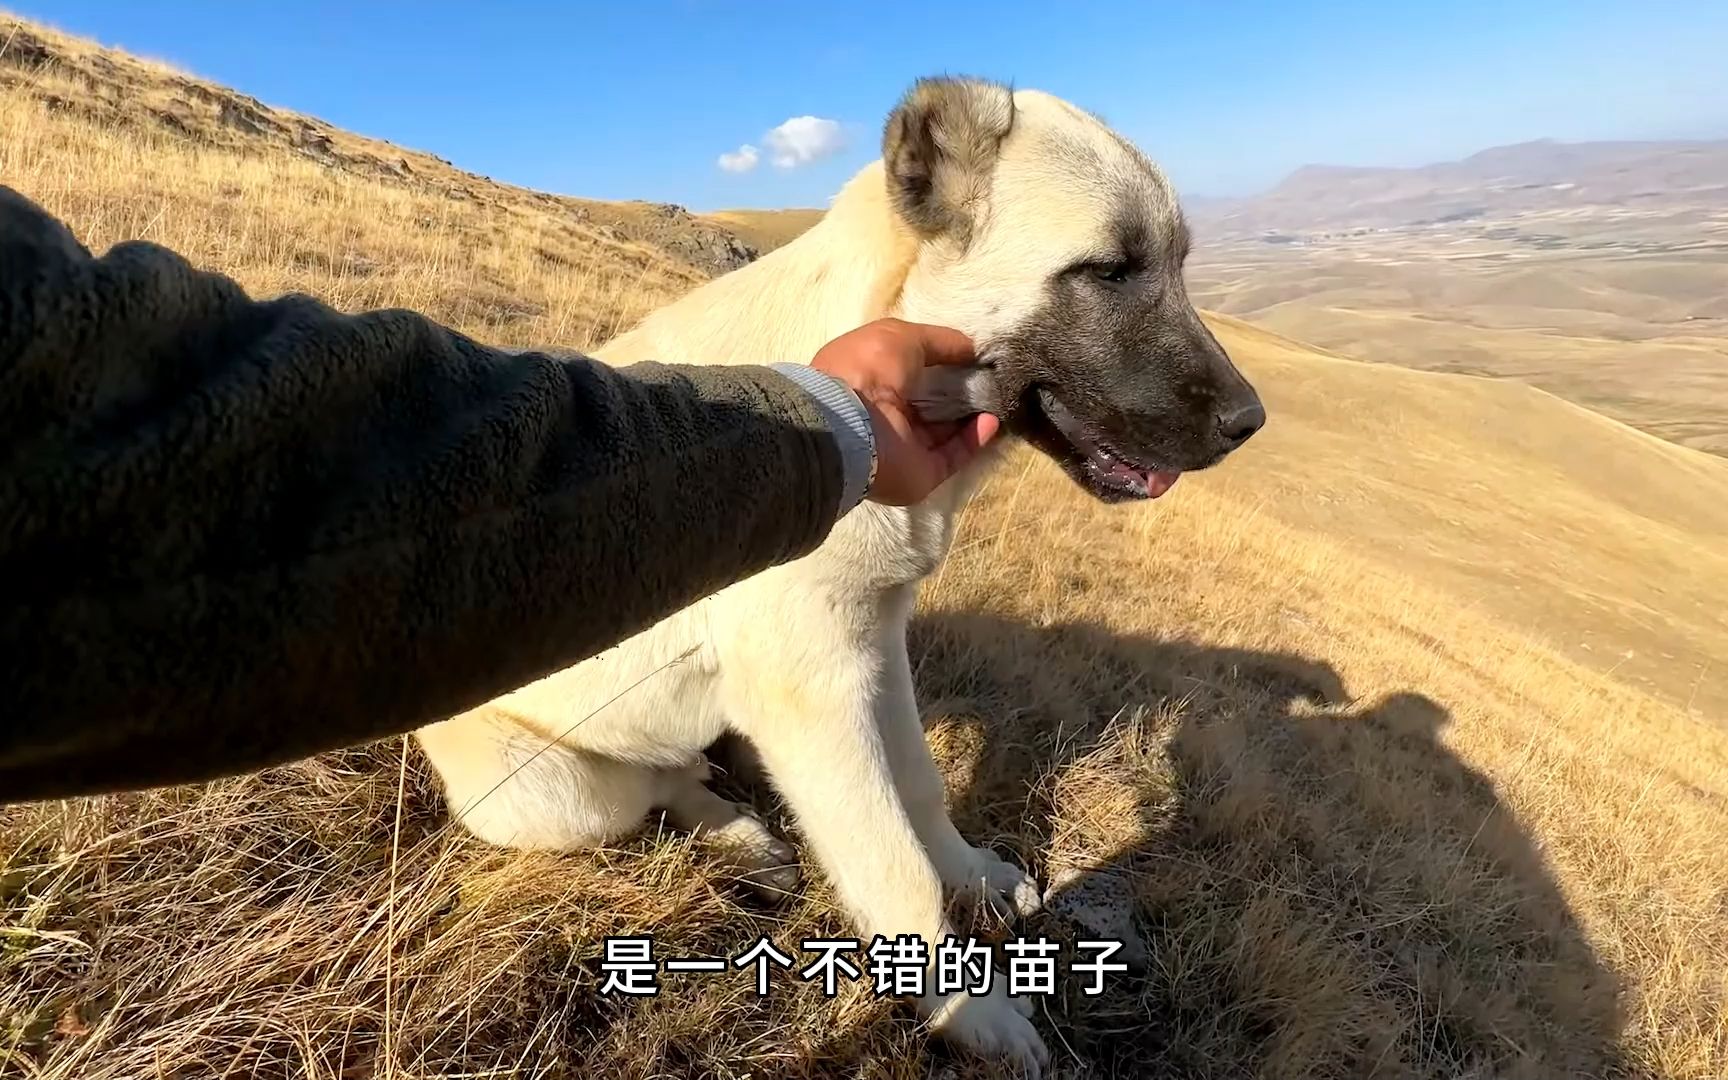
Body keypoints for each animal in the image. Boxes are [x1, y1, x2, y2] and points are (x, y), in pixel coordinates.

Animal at [412, 73, 1264, 1071]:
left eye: (1176, 264)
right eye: (1109, 270)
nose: (1250, 423)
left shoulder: (874, 650)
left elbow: (920, 788)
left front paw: (970, 871)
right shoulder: (816, 694)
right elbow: (891, 865)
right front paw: (969, 1013)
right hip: (557, 796)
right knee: (653, 785)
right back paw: (739, 837)